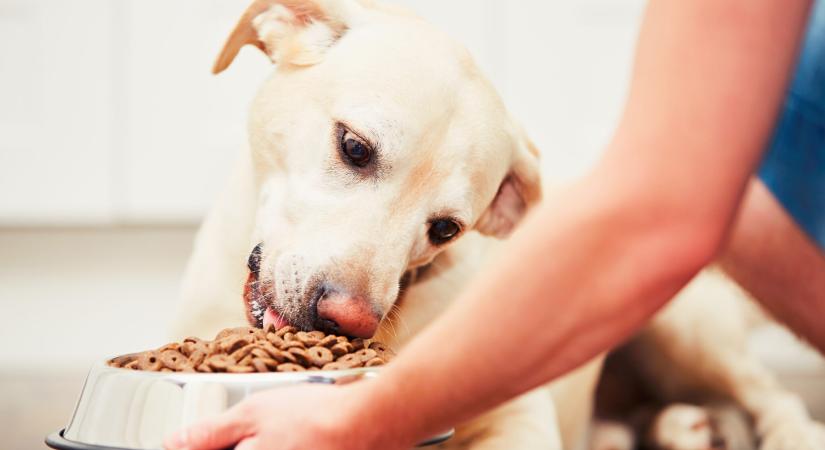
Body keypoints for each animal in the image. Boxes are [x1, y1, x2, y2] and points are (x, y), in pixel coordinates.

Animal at [174, 1, 824, 448]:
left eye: (446, 229)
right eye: (354, 147)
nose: (349, 321)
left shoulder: (520, 413)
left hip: (680, 326)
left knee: (772, 398)